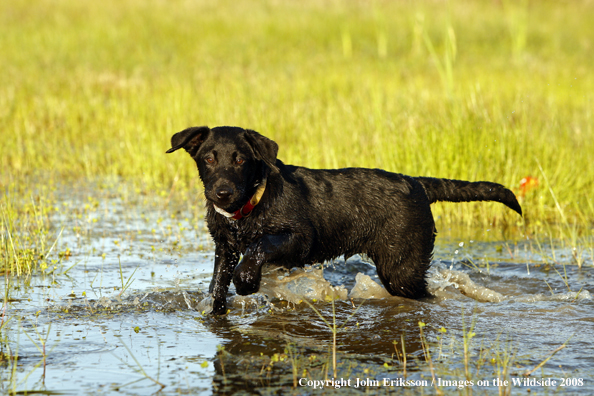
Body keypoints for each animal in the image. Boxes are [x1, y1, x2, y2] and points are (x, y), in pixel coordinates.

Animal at [165, 125, 520, 314]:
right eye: (209, 158)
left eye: (240, 160)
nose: (222, 193)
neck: (250, 205)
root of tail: (418, 183)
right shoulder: (224, 247)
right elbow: (217, 282)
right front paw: (216, 309)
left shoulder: (299, 239)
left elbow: (259, 246)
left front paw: (247, 280)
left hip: (401, 267)